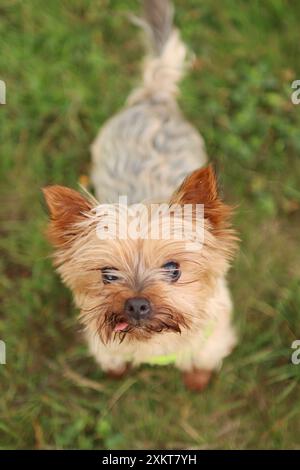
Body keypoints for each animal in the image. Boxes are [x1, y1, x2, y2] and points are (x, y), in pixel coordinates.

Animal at [42, 0, 239, 390]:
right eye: (107, 274)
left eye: (174, 269)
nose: (136, 305)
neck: (152, 341)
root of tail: (154, 98)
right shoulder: (105, 344)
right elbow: (114, 360)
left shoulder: (213, 338)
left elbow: (201, 362)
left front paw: (197, 381)